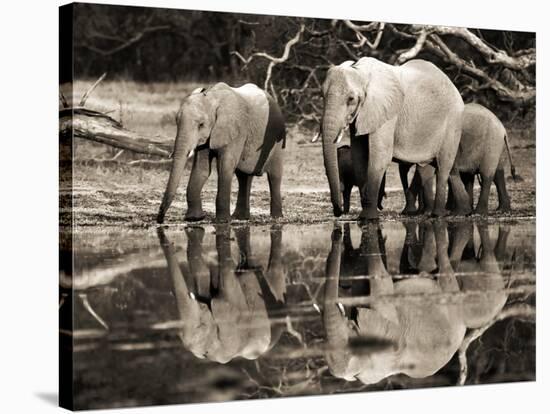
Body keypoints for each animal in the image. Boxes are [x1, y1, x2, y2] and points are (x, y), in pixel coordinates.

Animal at [155, 81, 284, 223]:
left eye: (201, 125)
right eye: (176, 122)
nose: (160, 219)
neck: (212, 97)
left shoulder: (236, 130)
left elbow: (225, 167)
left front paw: (222, 221)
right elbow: (201, 169)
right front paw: (194, 218)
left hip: (277, 140)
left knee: (274, 176)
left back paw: (276, 218)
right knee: (243, 176)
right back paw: (240, 217)